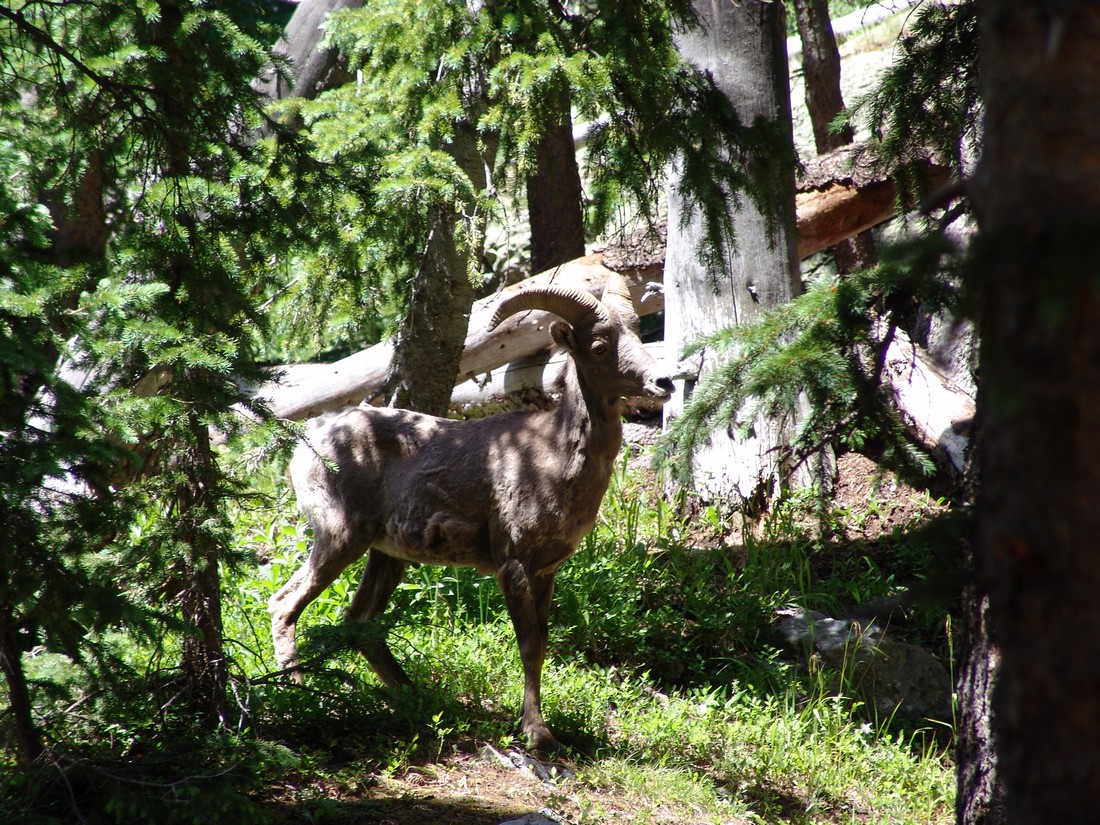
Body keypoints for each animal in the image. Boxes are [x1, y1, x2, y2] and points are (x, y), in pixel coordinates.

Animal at [268, 271, 674, 750]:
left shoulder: (546, 570)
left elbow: (542, 641)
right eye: (598, 346)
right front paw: (537, 734)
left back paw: (420, 700)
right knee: (285, 605)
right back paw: (299, 698)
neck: (553, 457)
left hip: (386, 556)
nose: (663, 383)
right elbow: (529, 644)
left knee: (361, 621)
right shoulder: (513, 563)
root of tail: (306, 445)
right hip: (340, 537)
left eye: (635, 334)